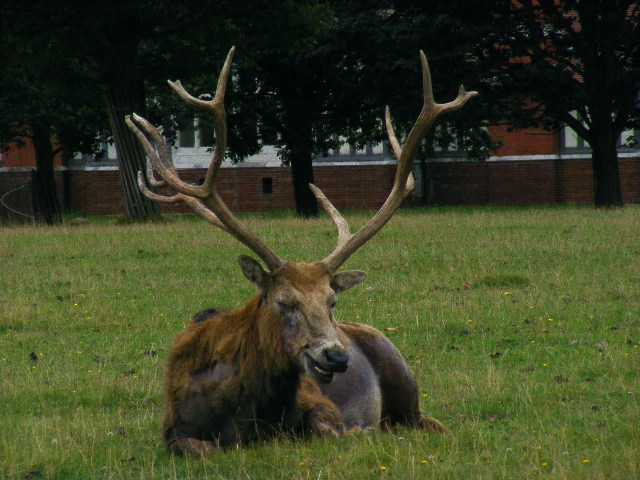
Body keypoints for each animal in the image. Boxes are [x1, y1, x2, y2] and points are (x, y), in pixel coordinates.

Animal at [125, 47, 476, 456]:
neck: (243, 414)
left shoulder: (321, 406)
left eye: (331, 301)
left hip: (403, 376)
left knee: (428, 421)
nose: (337, 355)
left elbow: (332, 430)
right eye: (284, 301)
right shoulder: (172, 429)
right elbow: (201, 447)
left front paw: (360, 431)